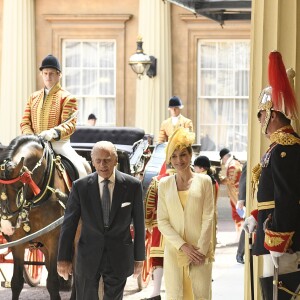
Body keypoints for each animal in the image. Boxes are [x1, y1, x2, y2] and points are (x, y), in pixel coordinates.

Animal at [0, 135, 74, 298]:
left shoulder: (54, 241)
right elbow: (16, 282)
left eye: (19, 188)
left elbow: (52, 283)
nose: (6, 227)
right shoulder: (17, 242)